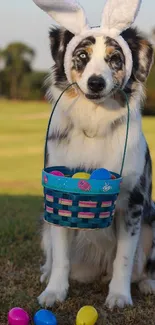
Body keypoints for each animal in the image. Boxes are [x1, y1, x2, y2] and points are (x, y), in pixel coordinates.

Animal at [38, 26, 155, 308]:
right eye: (82, 55)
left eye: (115, 59)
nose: (96, 82)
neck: (95, 119)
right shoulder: (60, 197)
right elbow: (61, 256)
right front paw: (54, 291)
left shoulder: (134, 202)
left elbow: (124, 257)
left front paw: (119, 295)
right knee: (51, 254)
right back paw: (46, 272)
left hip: (152, 220)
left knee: (144, 265)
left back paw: (147, 283)